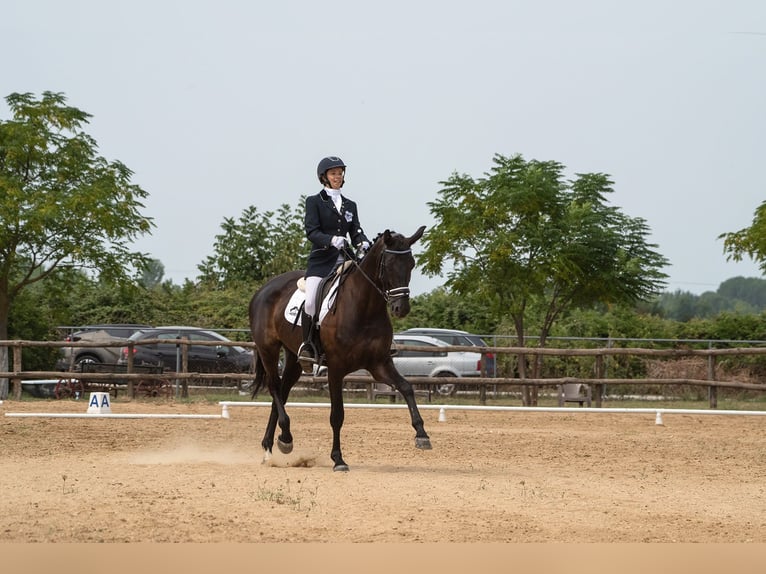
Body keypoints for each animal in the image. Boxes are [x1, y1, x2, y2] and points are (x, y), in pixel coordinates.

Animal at [250, 226, 432, 472]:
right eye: (388, 264)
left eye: (411, 264)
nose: (400, 308)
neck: (365, 308)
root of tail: (263, 290)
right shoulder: (336, 368)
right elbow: (337, 415)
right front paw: (338, 459)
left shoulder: (379, 364)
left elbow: (406, 388)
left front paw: (422, 434)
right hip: (268, 348)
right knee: (274, 387)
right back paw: (283, 439)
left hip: (294, 357)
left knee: (282, 391)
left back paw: (273, 446)